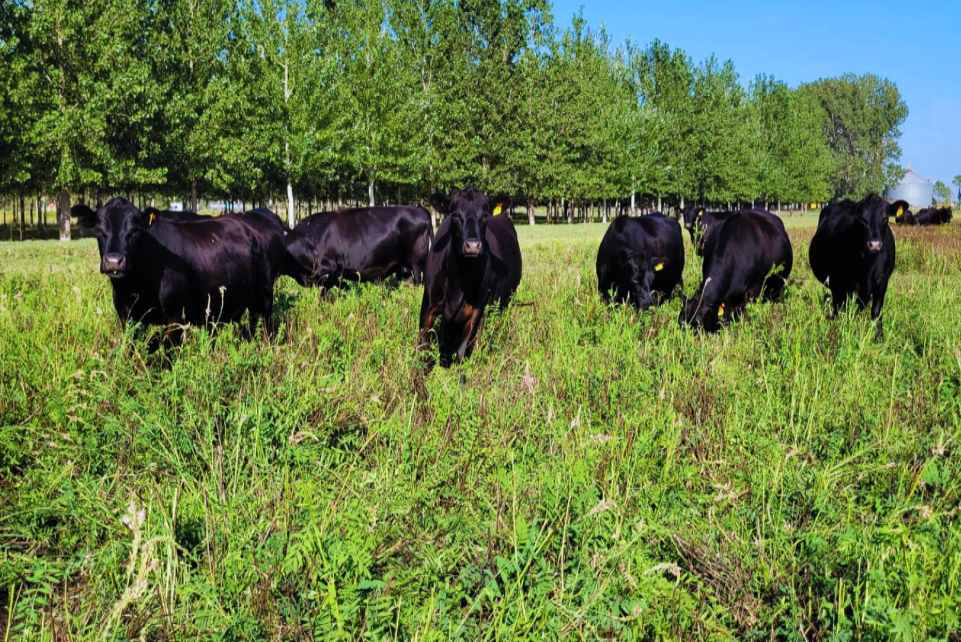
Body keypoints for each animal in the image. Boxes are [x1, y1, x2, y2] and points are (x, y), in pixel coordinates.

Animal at [420, 186, 524, 364]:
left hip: (502, 303)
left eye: (485, 215)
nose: (473, 245)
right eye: (454, 214)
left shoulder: (476, 312)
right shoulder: (428, 305)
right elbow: (423, 349)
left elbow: (462, 351)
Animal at [808, 194, 904, 340]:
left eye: (885, 219)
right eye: (861, 220)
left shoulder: (882, 280)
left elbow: (876, 310)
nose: (874, 245)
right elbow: (845, 310)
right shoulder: (843, 283)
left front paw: (879, 337)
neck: (867, 266)